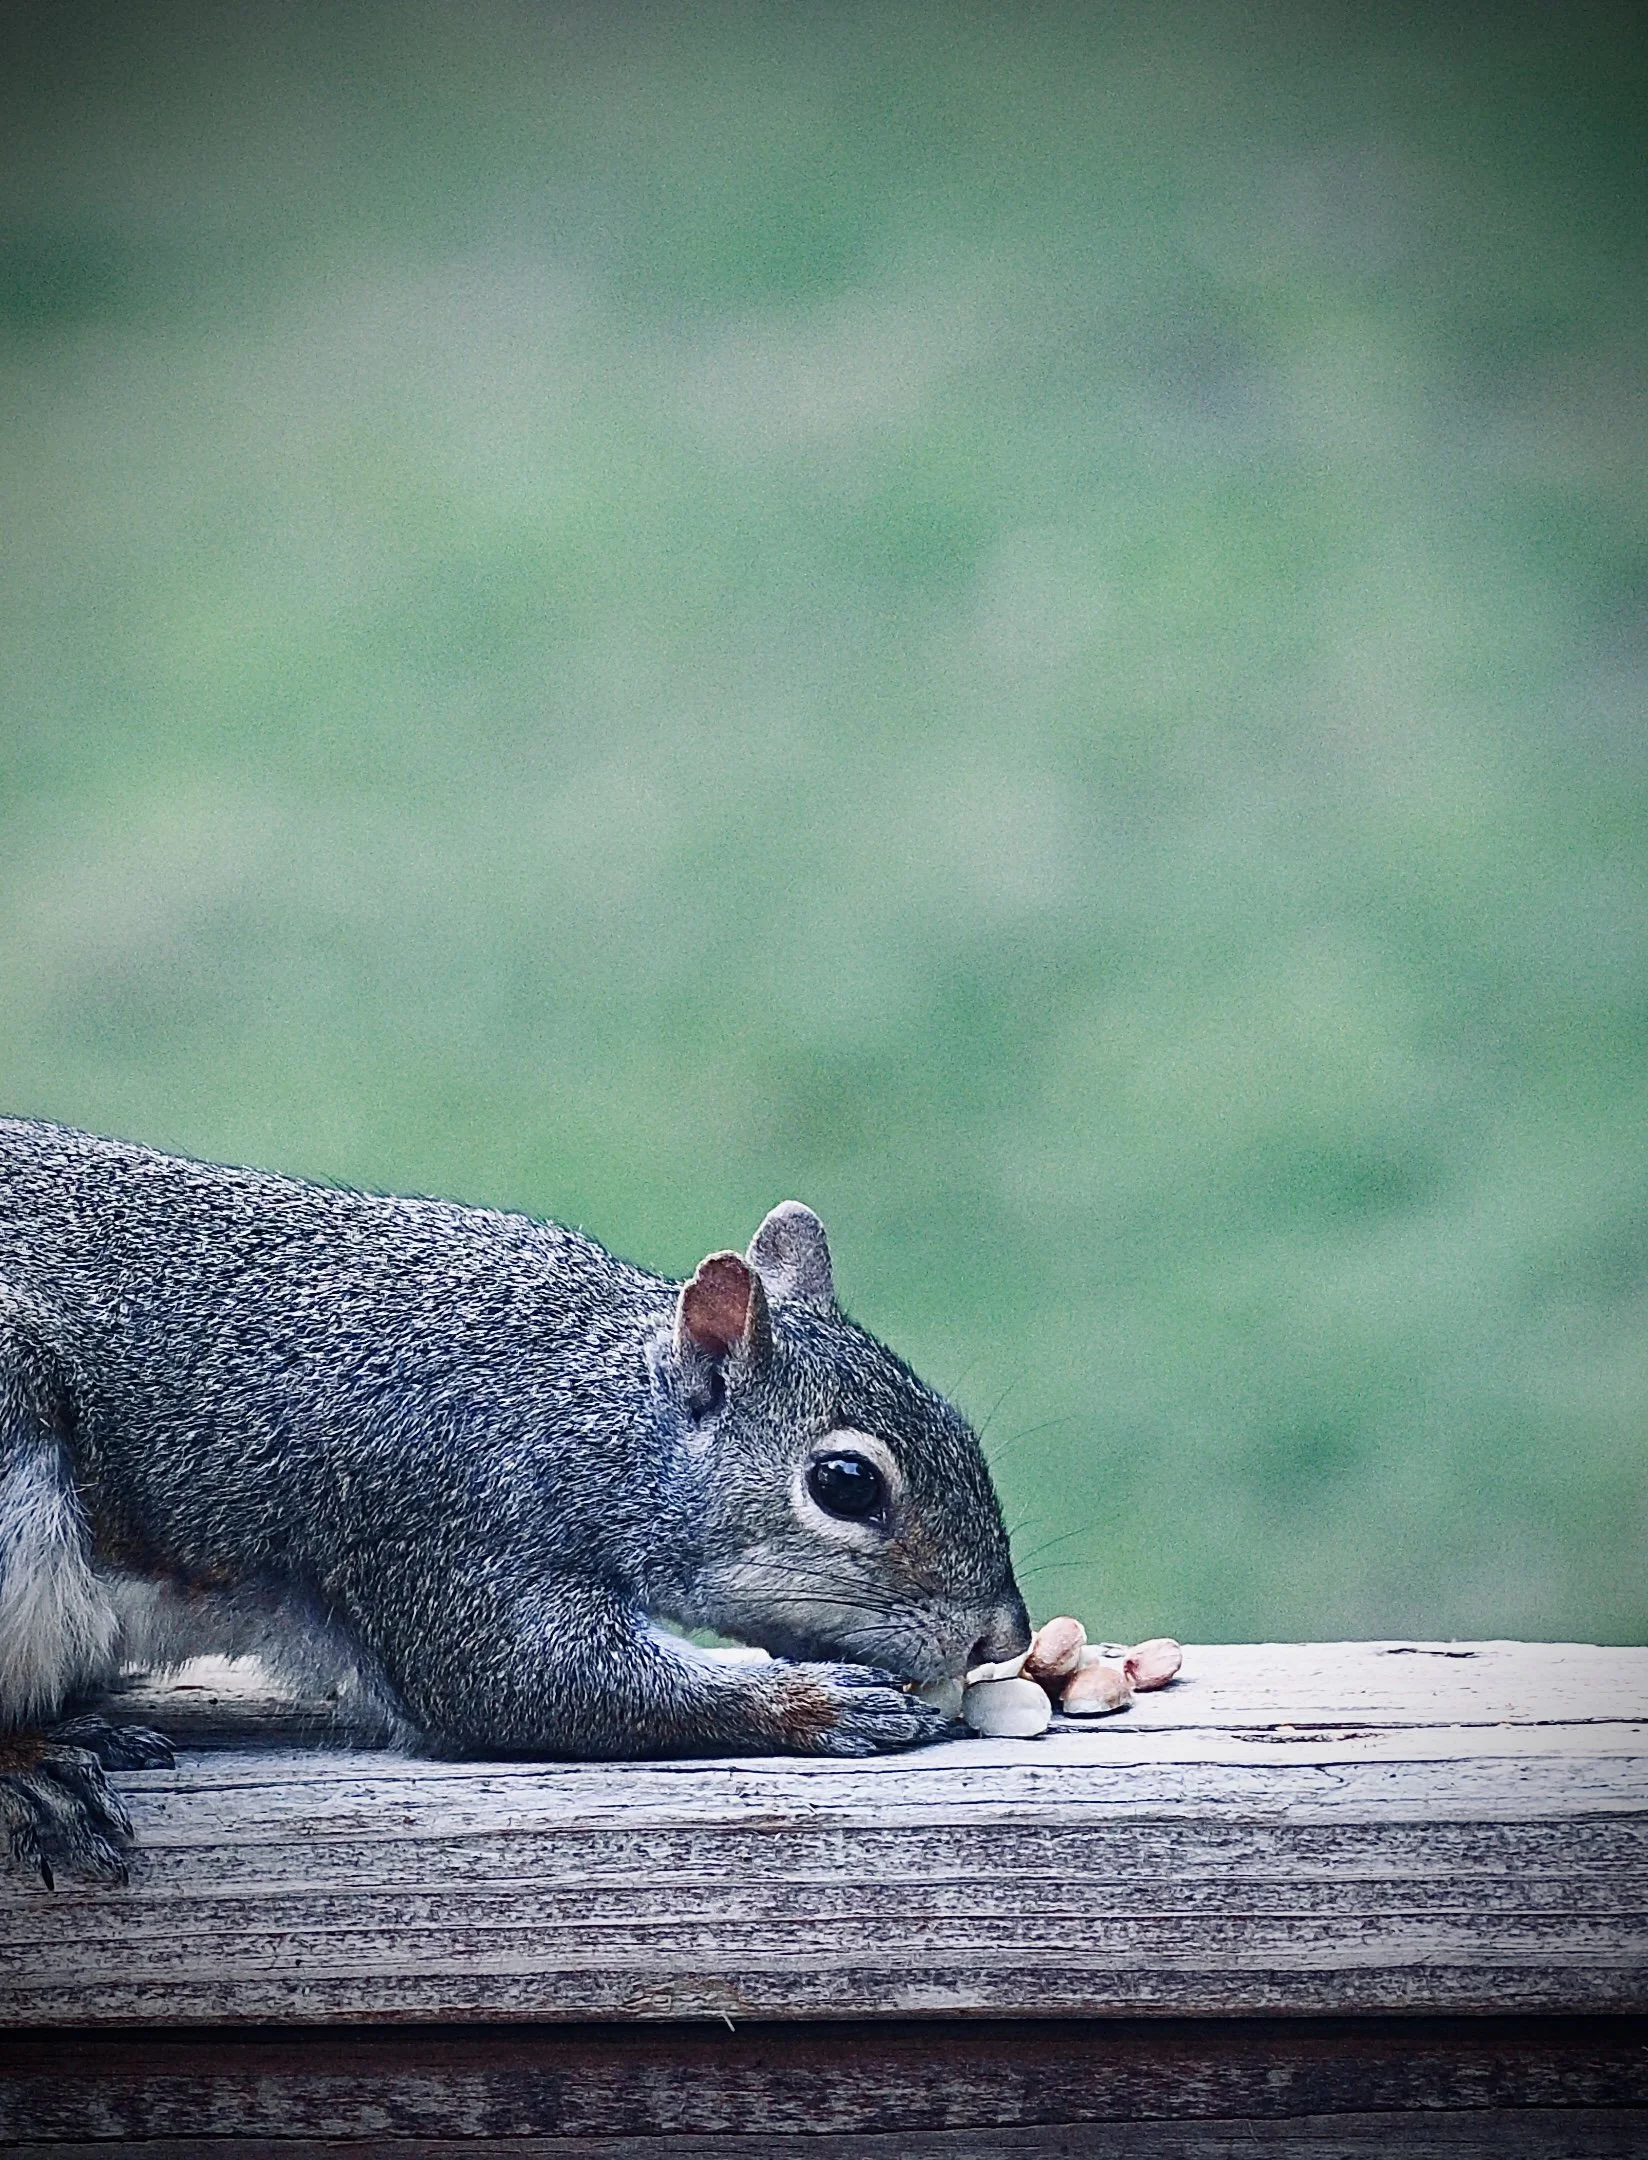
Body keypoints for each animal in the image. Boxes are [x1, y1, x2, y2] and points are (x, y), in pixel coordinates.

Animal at [0, 1117, 1029, 1883]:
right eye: (846, 1484)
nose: (1003, 1638)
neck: (585, 1406)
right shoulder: (451, 1517)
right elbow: (524, 1679)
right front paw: (821, 1702)